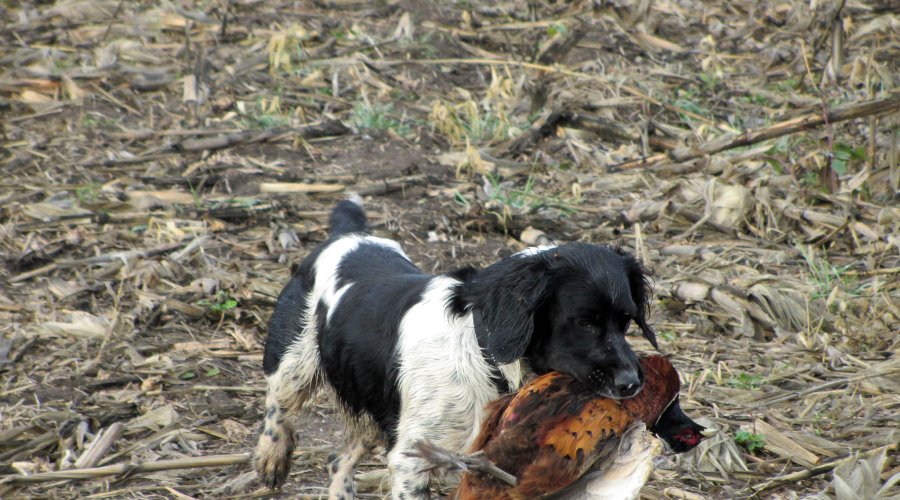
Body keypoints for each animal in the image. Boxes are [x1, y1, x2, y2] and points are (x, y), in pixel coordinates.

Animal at [253, 198, 652, 496]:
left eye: (627, 321)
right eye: (584, 322)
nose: (632, 383)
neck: (485, 356)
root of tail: (347, 236)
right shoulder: (411, 458)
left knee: (338, 461)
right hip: (295, 363)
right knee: (277, 402)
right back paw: (271, 456)